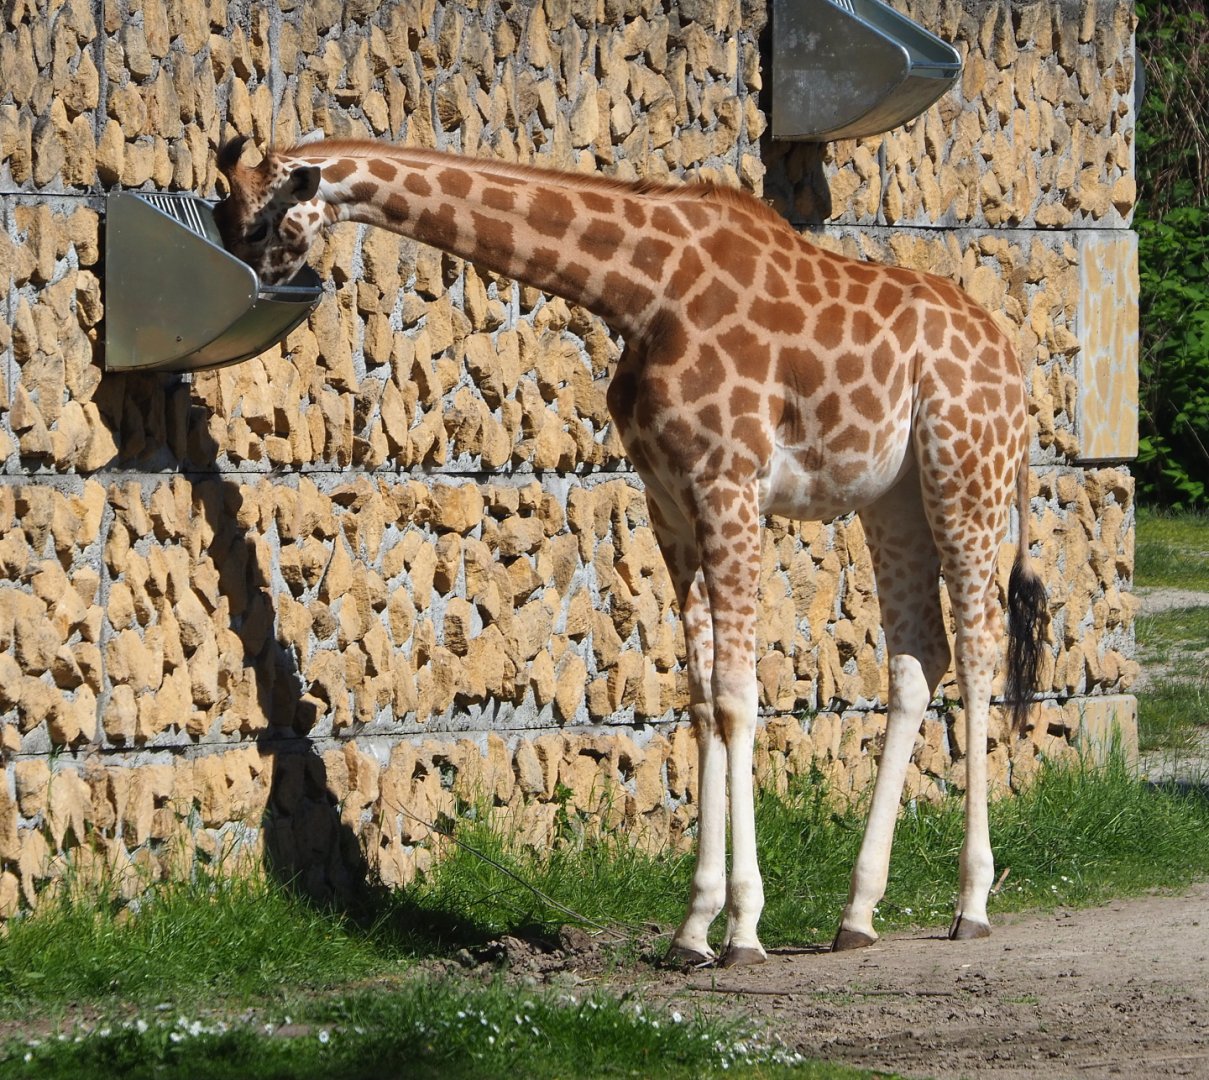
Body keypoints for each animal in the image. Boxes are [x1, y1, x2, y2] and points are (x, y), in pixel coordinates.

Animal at [215, 135, 1048, 968]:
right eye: (224, 216)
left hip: (964, 472)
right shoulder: (669, 504)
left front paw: (743, 928)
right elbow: (702, 701)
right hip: (891, 496)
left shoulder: (728, 485)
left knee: (978, 650)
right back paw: (857, 912)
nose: (245, 292)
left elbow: (738, 697)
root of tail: (1014, 367)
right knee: (917, 659)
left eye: (257, 225)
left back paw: (971, 903)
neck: (642, 291)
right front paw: (694, 927)